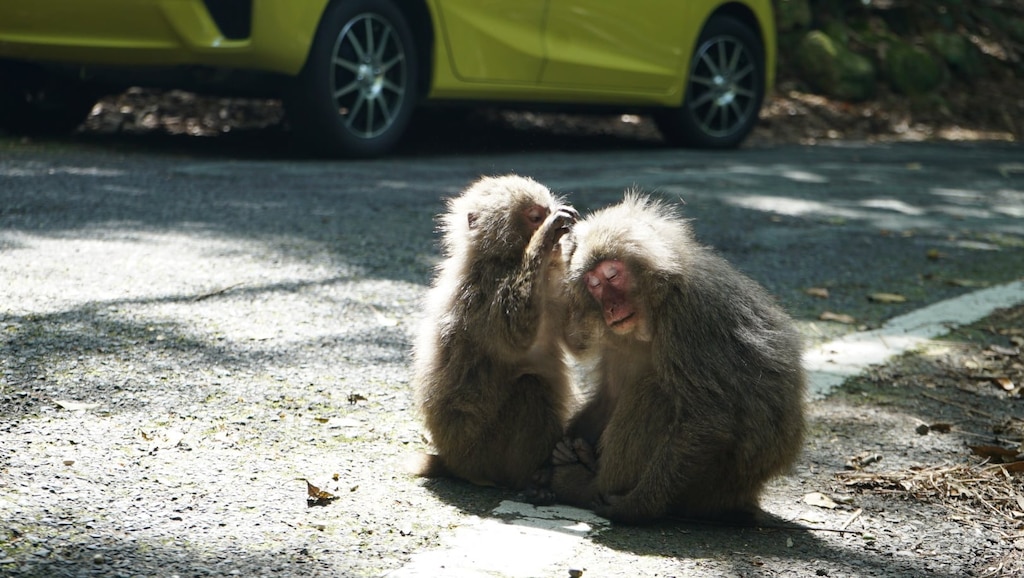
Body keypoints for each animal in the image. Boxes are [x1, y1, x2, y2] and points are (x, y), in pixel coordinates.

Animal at [411, 174, 581, 489]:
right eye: (535, 217)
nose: (557, 234)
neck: (504, 259)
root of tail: (453, 462)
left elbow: (578, 338)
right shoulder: (482, 289)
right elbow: (515, 334)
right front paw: (546, 237)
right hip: (485, 454)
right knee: (530, 386)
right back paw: (537, 473)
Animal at [548, 192, 802, 524]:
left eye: (611, 275)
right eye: (595, 285)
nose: (611, 308)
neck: (653, 312)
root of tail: (745, 494)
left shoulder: (688, 317)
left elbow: (708, 417)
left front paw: (635, 507)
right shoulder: (614, 331)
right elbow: (584, 352)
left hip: (710, 487)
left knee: (656, 392)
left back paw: (587, 484)